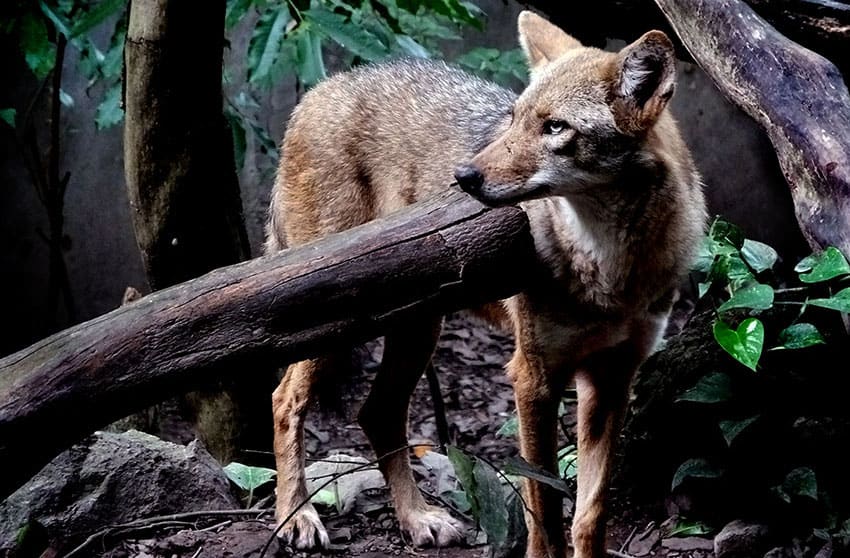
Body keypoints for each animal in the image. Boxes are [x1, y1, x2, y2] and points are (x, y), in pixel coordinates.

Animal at [264, 9, 704, 558]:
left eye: (555, 127)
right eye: (513, 118)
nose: (464, 176)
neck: (609, 270)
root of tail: (318, 91)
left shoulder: (612, 380)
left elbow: (590, 513)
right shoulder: (533, 378)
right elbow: (545, 507)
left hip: (418, 330)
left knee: (377, 413)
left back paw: (417, 519)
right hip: (336, 331)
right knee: (286, 400)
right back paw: (297, 517)